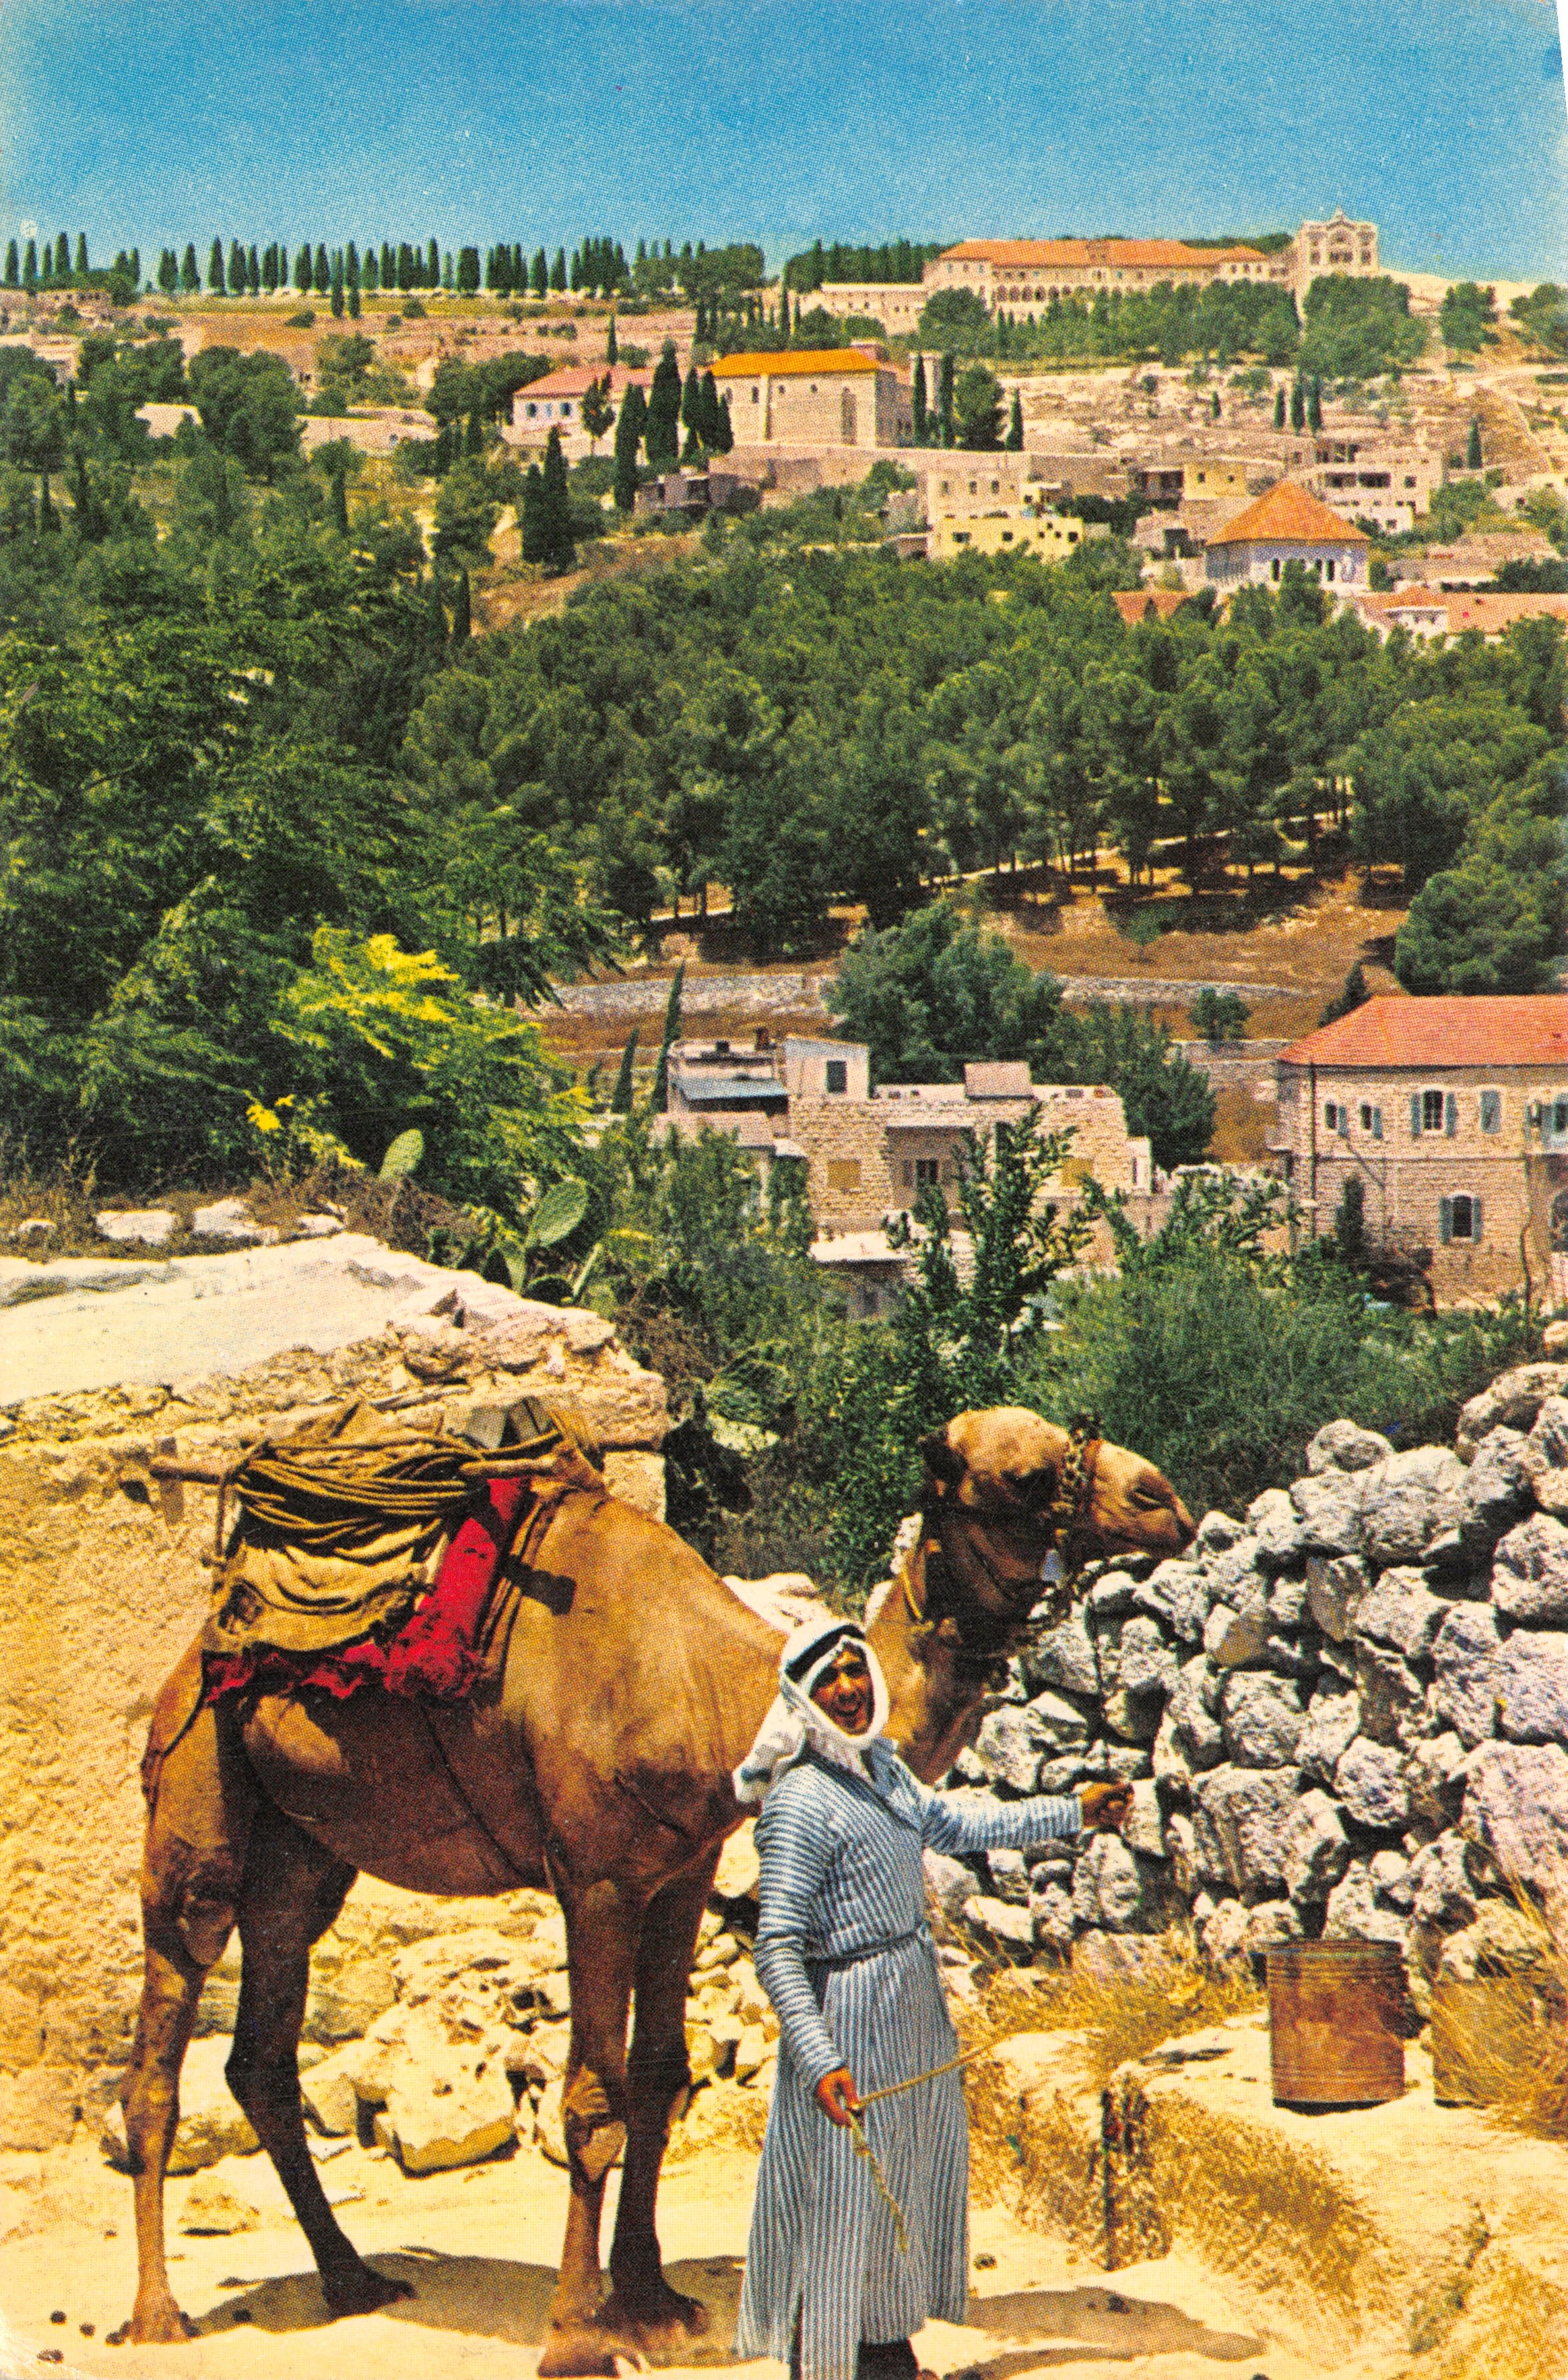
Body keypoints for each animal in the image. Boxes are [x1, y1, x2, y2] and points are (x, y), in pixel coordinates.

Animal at [116, 1404, 1195, 2365]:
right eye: (1022, 1475)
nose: (1164, 1498)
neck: (713, 1689)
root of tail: (202, 1635)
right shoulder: (594, 1877)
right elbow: (591, 2100)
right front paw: (575, 2332)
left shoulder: (679, 1871)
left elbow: (658, 2077)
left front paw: (652, 2302)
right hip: (194, 1797)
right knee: (165, 2032)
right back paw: (157, 2314)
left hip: (304, 1854)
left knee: (262, 2046)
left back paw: (350, 2279)